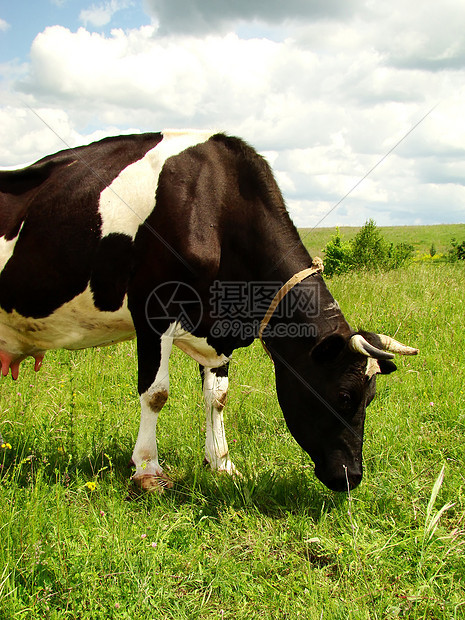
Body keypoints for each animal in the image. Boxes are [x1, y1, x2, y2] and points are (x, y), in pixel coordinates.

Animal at [0, 130, 418, 490]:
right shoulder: (154, 313)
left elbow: (217, 397)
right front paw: (147, 470)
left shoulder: (218, 330)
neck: (215, 208)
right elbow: (155, 393)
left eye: (371, 398)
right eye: (344, 396)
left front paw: (221, 463)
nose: (351, 477)